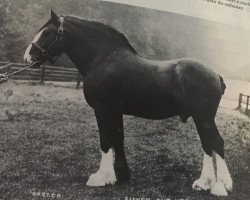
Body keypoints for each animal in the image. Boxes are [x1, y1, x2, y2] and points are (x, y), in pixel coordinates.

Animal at [23, 9, 232, 197]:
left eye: (47, 32)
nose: (28, 57)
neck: (104, 58)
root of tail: (215, 74)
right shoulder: (115, 111)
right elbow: (118, 139)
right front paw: (120, 176)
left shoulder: (102, 109)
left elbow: (105, 140)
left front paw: (100, 177)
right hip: (201, 118)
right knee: (207, 144)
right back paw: (204, 183)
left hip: (204, 117)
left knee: (216, 142)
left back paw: (220, 186)